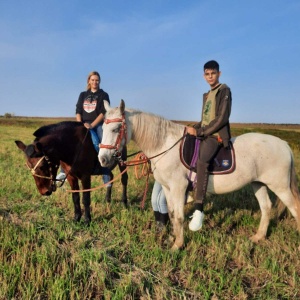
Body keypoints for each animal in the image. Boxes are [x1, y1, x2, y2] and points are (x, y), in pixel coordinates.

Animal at [99, 99, 300, 250]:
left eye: (116, 129)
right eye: (102, 128)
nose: (103, 159)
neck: (165, 145)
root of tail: (284, 144)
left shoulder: (178, 187)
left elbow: (179, 216)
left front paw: (178, 245)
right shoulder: (167, 188)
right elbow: (172, 214)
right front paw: (173, 239)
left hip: (280, 186)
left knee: (295, 208)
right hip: (258, 183)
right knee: (266, 207)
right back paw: (258, 237)